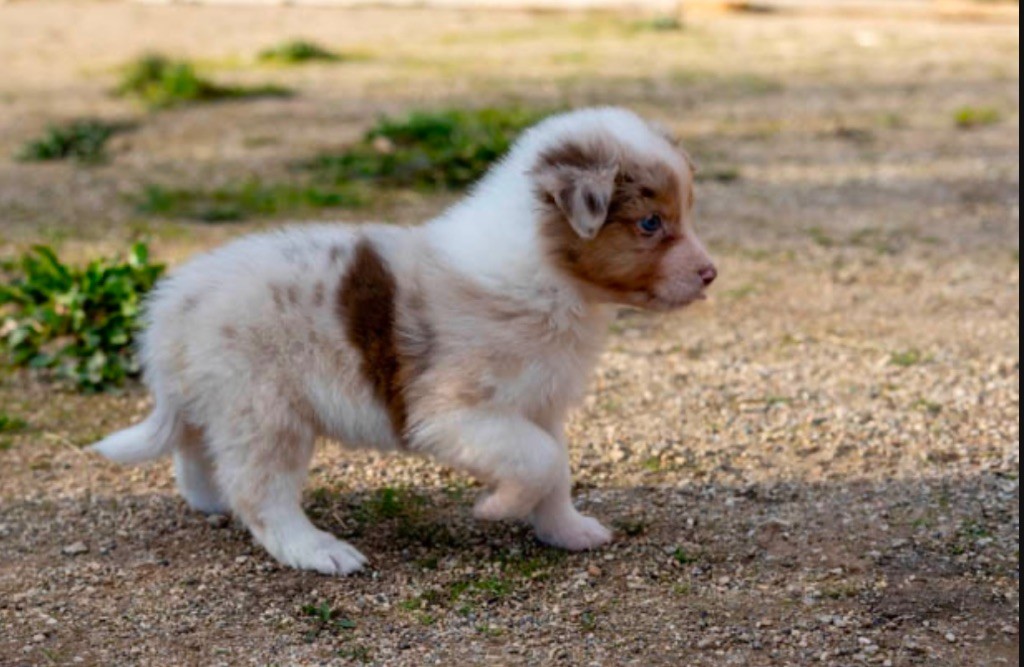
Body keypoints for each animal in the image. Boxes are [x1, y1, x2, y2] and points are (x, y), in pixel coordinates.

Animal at [91, 107, 717, 575]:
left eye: (684, 212)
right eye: (650, 224)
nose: (711, 274)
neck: (546, 277)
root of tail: (169, 309)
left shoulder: (540, 404)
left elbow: (555, 467)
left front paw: (567, 530)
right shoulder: (452, 413)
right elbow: (536, 461)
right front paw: (496, 506)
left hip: (222, 402)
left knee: (196, 455)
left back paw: (211, 500)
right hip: (265, 411)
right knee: (261, 495)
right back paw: (319, 551)